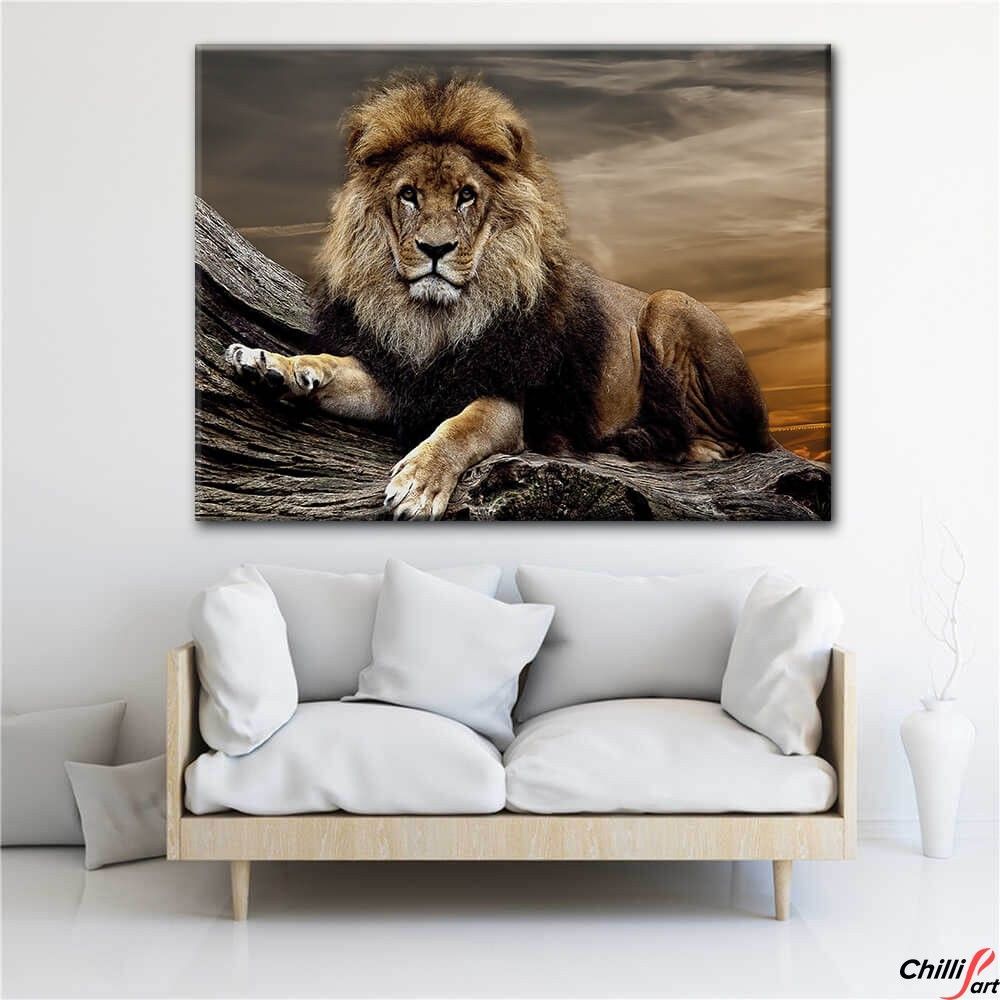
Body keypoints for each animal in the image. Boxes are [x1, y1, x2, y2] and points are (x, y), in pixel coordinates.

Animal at [226, 74, 775, 519]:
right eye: (409, 195)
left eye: (467, 196)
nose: (435, 249)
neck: (436, 319)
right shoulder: (408, 380)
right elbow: (336, 366)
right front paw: (272, 364)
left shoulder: (506, 398)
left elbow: (461, 428)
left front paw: (419, 484)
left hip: (669, 305)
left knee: (742, 442)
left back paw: (679, 447)